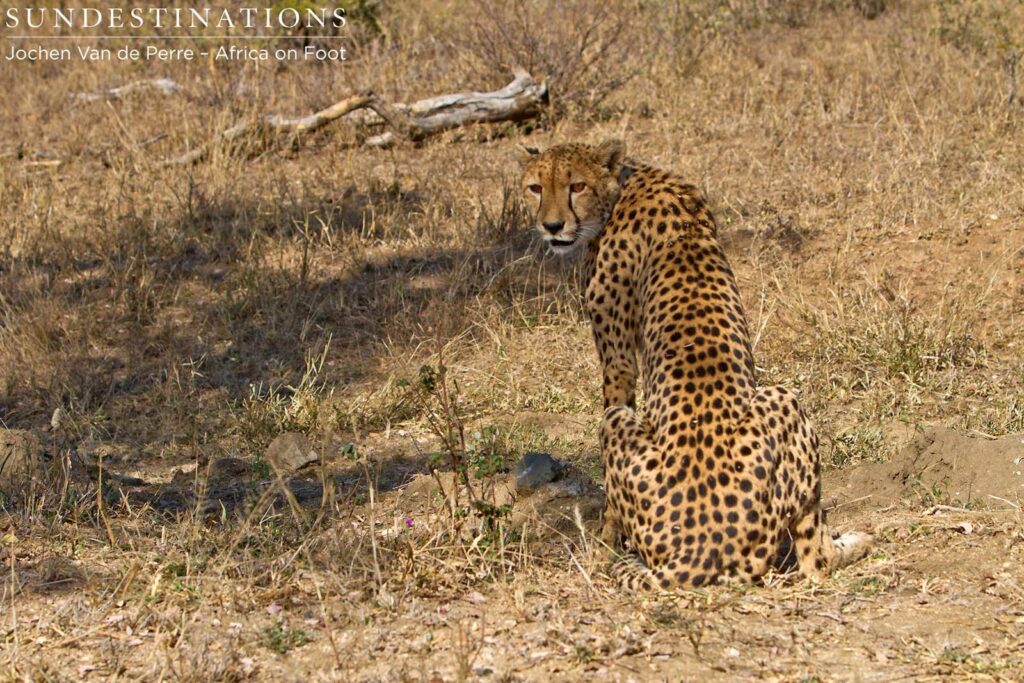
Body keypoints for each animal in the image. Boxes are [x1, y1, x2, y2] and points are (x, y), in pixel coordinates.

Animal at [519, 139, 872, 589]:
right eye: (535, 187)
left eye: (576, 185)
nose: (551, 226)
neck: (625, 184)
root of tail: (699, 551)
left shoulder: (618, 361)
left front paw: (603, 546)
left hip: (769, 400)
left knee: (816, 564)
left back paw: (855, 542)